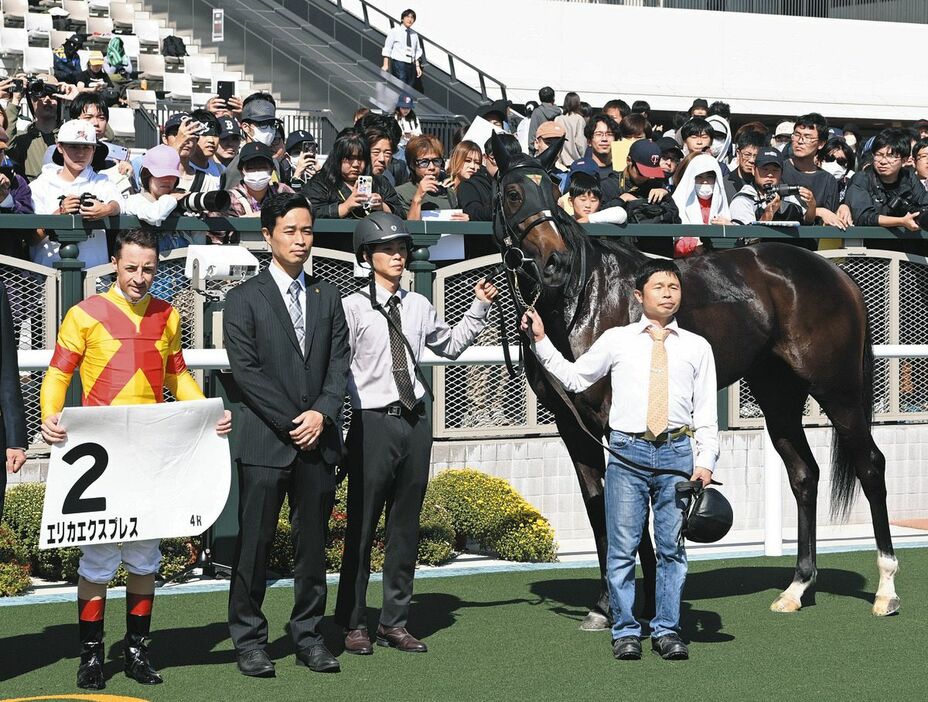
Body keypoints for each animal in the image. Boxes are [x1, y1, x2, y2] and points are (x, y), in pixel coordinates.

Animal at [492, 136, 900, 628]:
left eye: (553, 192)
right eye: (514, 193)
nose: (556, 262)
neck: (582, 296)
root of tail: (837, 274)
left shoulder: (612, 421)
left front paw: (643, 602)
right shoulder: (572, 425)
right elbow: (597, 506)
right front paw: (606, 606)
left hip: (837, 391)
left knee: (870, 466)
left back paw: (886, 589)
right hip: (778, 395)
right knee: (804, 474)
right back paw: (797, 587)